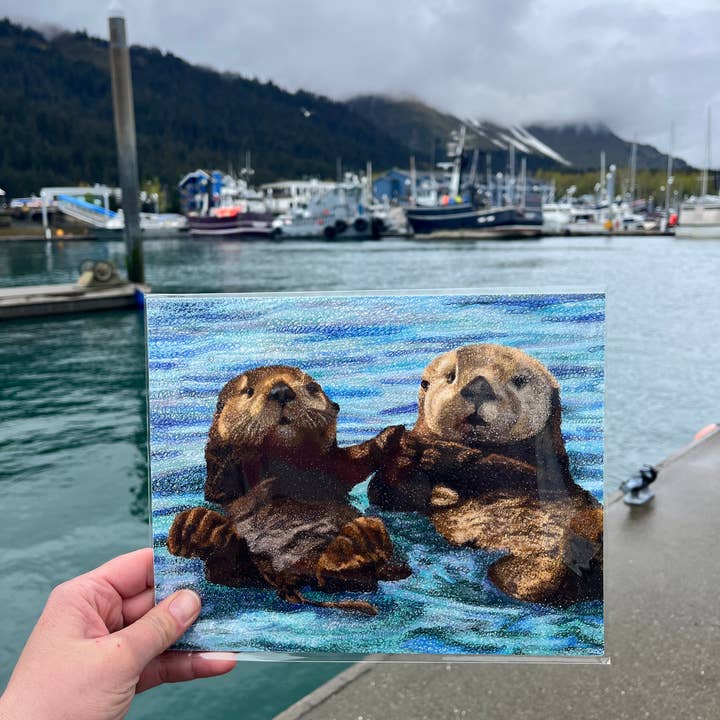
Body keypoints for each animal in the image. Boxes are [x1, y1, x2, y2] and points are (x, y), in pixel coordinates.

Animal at [167, 365, 409, 615]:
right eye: (248, 391)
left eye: (311, 388)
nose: (281, 391)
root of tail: (292, 575)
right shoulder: (222, 484)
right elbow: (220, 480)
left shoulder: (335, 468)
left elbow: (357, 461)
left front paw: (393, 434)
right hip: (252, 569)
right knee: (225, 570)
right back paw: (200, 529)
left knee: (356, 578)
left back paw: (357, 543)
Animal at [368, 344, 602, 606]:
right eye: (451, 376)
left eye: (519, 380)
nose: (478, 387)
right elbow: (385, 493)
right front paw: (409, 453)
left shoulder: (549, 473)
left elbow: (509, 470)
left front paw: (447, 456)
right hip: (514, 570)